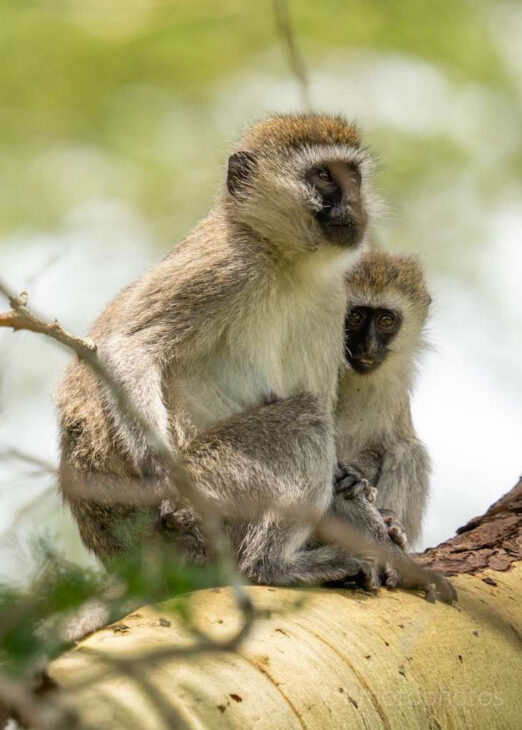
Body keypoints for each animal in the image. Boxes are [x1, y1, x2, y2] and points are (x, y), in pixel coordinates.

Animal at [333, 251, 432, 549]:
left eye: (386, 320)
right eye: (355, 316)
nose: (367, 347)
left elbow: (383, 445)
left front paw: (358, 477)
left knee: (409, 451)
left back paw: (392, 523)